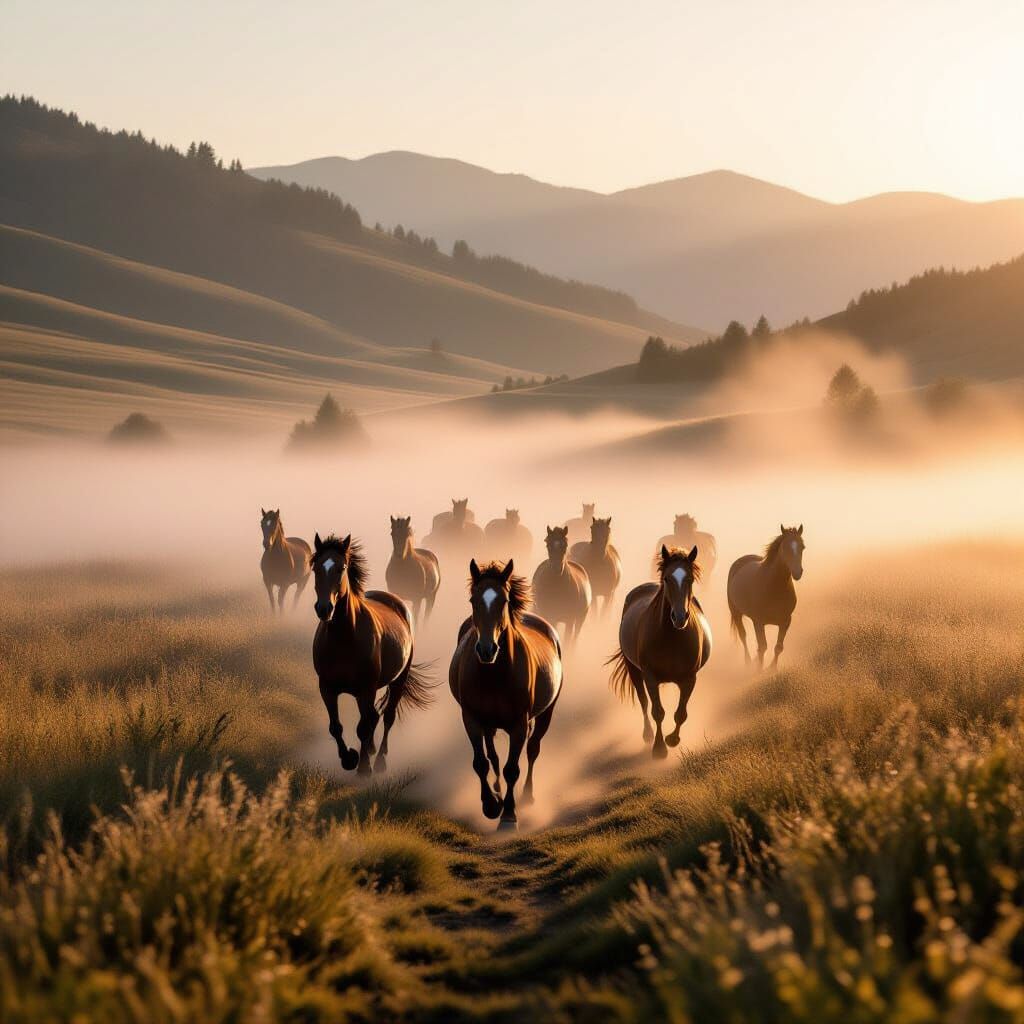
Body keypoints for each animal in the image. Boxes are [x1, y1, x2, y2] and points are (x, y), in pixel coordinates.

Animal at [311, 533, 433, 775]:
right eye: (316, 567)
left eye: (341, 567)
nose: (324, 609)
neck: (343, 639)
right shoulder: (327, 688)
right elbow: (335, 727)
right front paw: (349, 758)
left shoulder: (365, 690)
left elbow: (363, 728)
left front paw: (363, 767)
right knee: (374, 717)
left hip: (397, 681)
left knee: (386, 717)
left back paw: (380, 760)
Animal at [449, 559, 562, 831]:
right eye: (473, 600)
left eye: (504, 600)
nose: (487, 649)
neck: (495, 674)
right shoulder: (471, 718)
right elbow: (481, 762)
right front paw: (491, 805)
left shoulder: (519, 724)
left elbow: (513, 768)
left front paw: (509, 815)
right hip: (488, 723)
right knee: (492, 755)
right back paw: (497, 791)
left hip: (545, 715)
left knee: (533, 749)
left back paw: (527, 796)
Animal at [608, 545, 712, 759]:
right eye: (667, 579)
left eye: (690, 579)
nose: (679, 617)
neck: (672, 638)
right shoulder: (650, 677)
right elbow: (657, 711)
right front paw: (659, 748)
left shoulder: (690, 678)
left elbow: (681, 713)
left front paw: (672, 739)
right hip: (634, 670)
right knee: (643, 701)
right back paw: (647, 735)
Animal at [727, 524, 805, 670]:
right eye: (785, 547)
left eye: (802, 547)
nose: (798, 572)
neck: (774, 588)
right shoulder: (758, 622)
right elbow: (762, 647)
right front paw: (759, 670)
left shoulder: (786, 621)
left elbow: (778, 647)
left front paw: (772, 669)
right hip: (736, 613)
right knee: (743, 636)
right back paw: (748, 662)